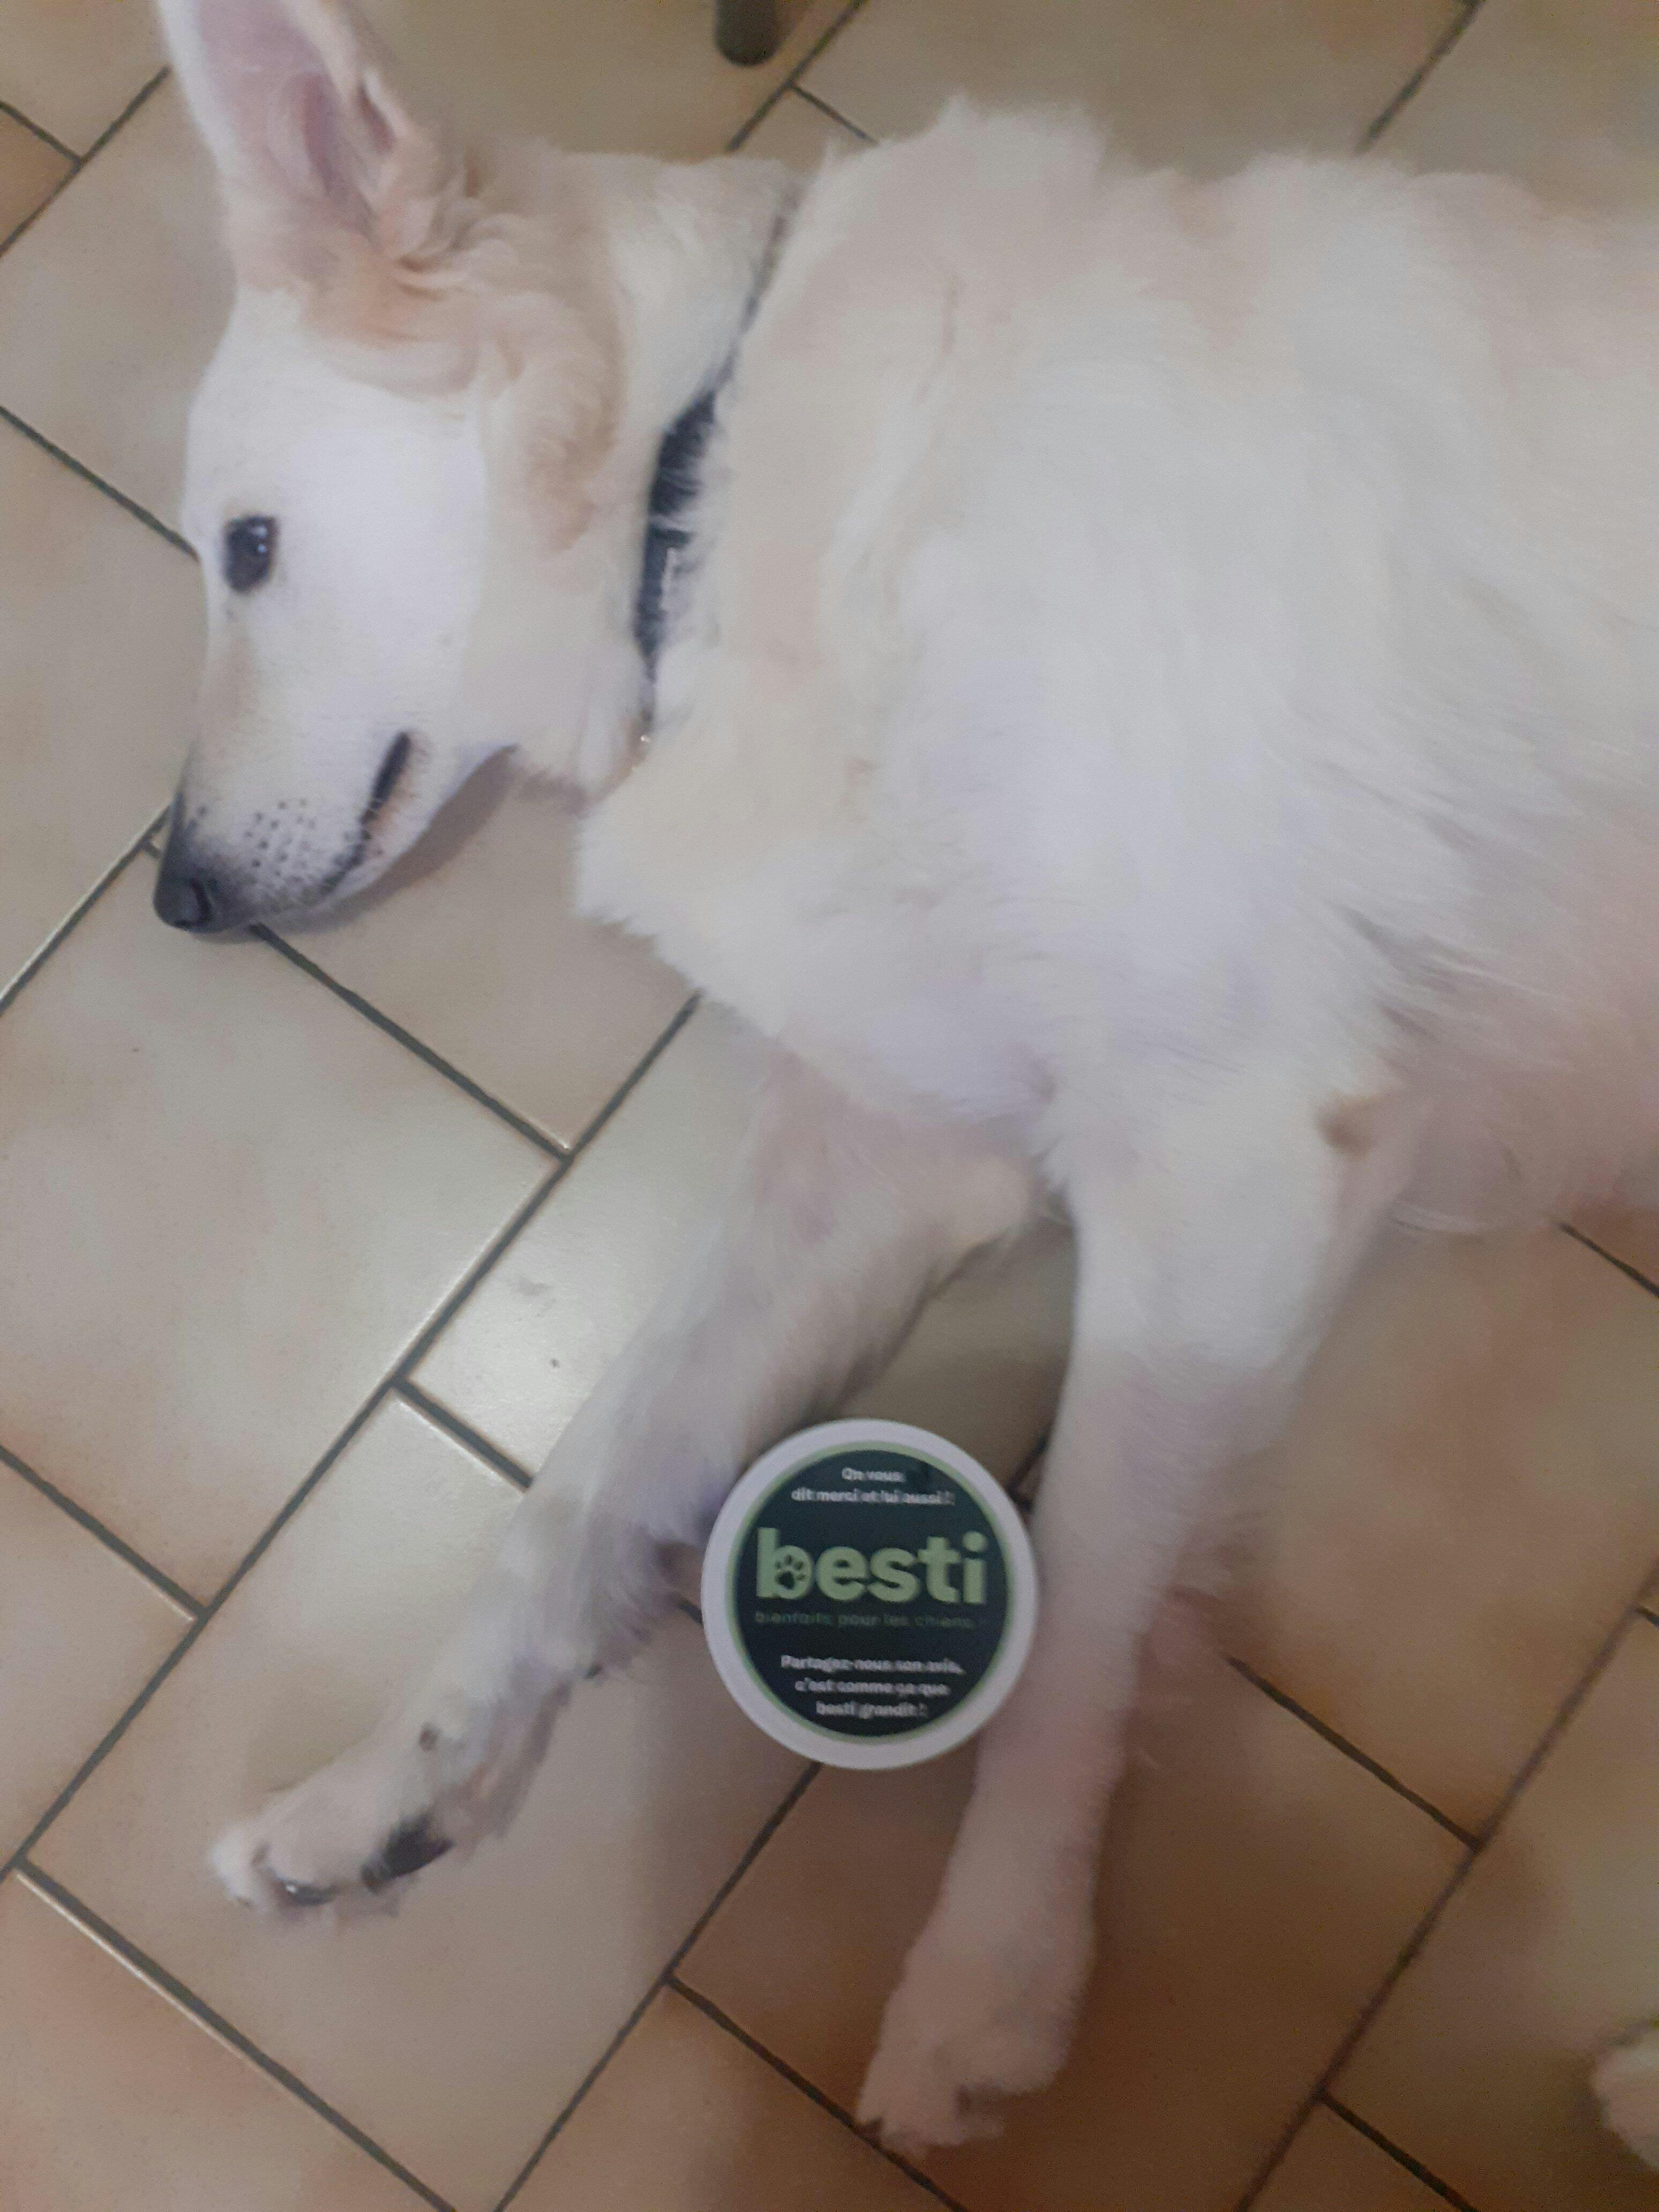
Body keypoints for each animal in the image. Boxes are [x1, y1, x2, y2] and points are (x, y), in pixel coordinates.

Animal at [149, 0, 1659, 2159]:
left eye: (252, 551)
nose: (174, 898)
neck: (714, 477)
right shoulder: (891, 1151)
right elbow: (577, 1490)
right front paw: (391, 1784)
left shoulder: (1223, 1174)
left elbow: (1083, 1604)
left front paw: (990, 1975)